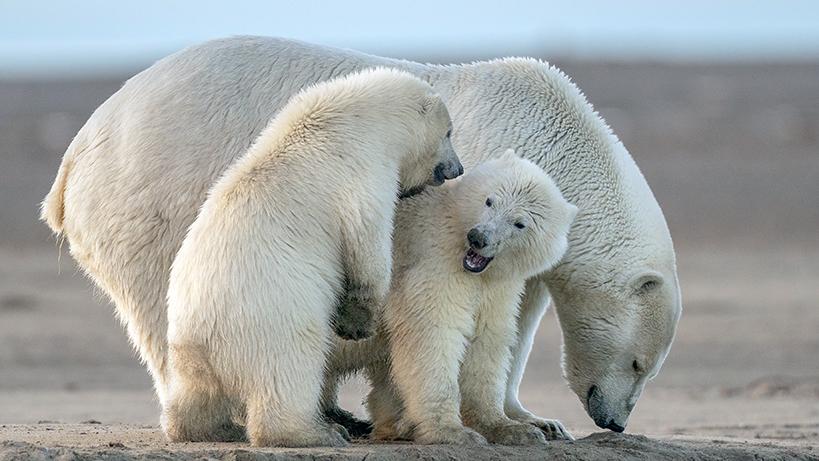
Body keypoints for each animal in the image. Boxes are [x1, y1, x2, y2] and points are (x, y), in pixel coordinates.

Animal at [41, 36, 684, 434]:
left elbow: (518, 312)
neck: (554, 136)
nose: (615, 421)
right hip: (153, 200)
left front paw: (534, 420)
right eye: (639, 363)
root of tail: (73, 157)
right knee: (168, 301)